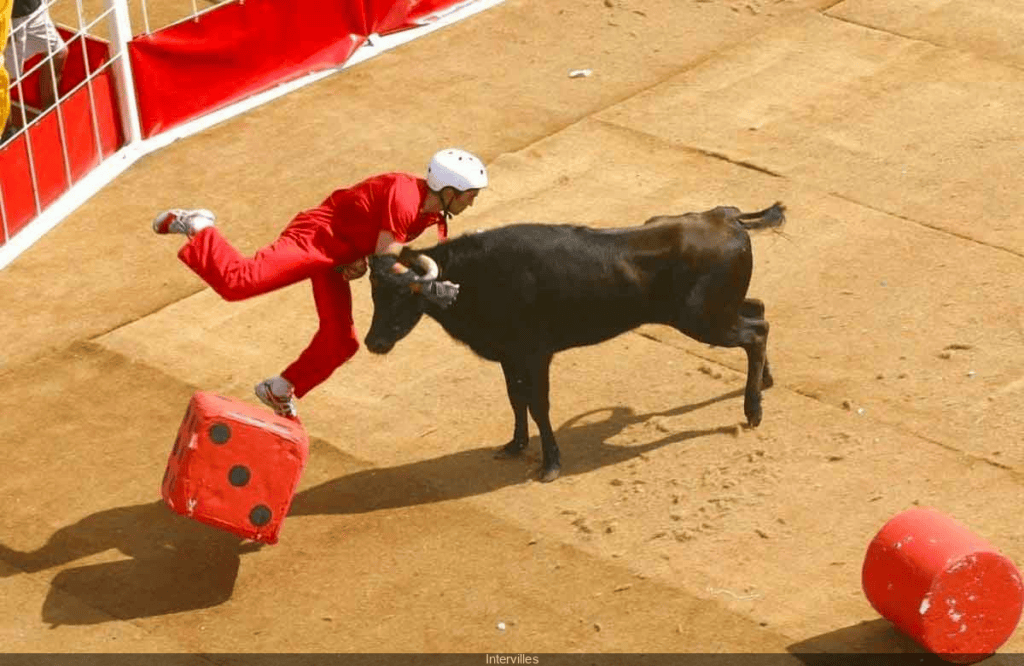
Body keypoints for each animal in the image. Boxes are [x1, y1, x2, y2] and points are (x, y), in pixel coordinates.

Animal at [364, 199, 786, 479]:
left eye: (405, 293)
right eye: (374, 293)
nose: (373, 343)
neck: (478, 276)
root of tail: (725, 217)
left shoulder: (534, 355)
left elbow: (538, 405)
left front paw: (550, 463)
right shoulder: (510, 356)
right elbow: (516, 399)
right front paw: (515, 446)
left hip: (703, 320)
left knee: (755, 333)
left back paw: (753, 410)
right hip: (717, 311)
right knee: (760, 310)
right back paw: (765, 382)